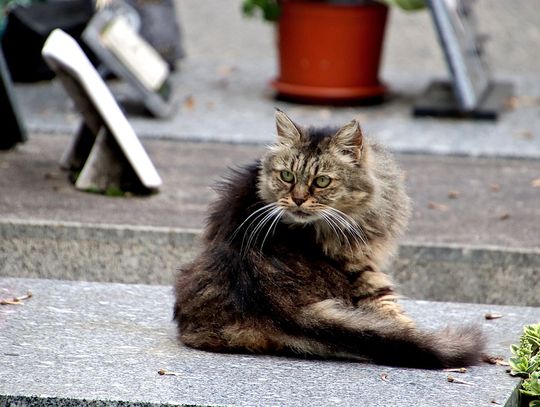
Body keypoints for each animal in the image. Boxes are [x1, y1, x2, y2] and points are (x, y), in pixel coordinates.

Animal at [175, 110, 488, 368]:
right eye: (287, 176)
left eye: (322, 181)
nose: (298, 199)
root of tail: (269, 298)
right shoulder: (364, 267)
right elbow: (394, 315)